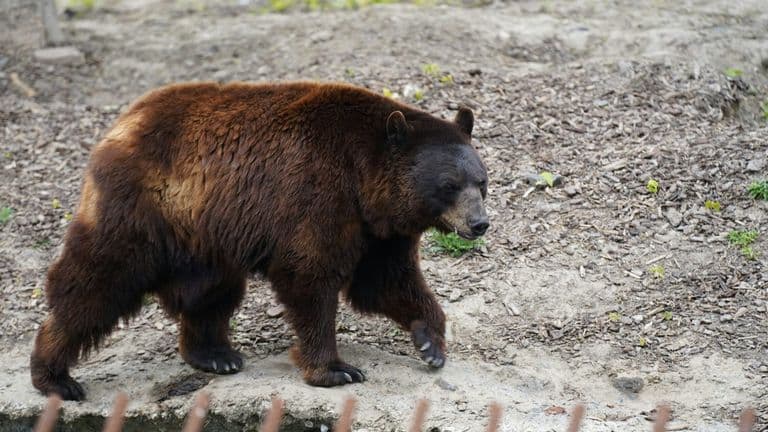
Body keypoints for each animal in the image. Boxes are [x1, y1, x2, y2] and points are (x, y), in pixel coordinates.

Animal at [30, 81, 490, 401]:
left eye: (481, 181)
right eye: (449, 185)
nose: (479, 223)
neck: (365, 182)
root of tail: (121, 122)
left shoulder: (378, 232)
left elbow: (386, 282)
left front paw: (430, 342)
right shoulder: (316, 196)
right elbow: (310, 278)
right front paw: (336, 369)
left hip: (204, 237)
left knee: (210, 292)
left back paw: (215, 354)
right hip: (141, 209)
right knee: (98, 280)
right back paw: (54, 376)